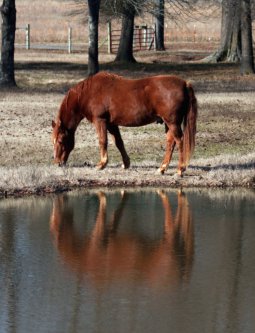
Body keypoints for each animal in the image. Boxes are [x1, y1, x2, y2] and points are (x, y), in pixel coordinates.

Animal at [52, 71, 197, 175]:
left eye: (60, 140)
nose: (57, 163)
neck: (89, 93)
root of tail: (185, 84)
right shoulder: (111, 124)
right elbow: (118, 142)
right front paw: (126, 163)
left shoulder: (100, 121)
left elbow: (102, 141)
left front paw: (101, 164)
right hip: (168, 123)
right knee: (170, 142)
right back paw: (162, 168)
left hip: (172, 123)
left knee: (179, 141)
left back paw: (180, 169)